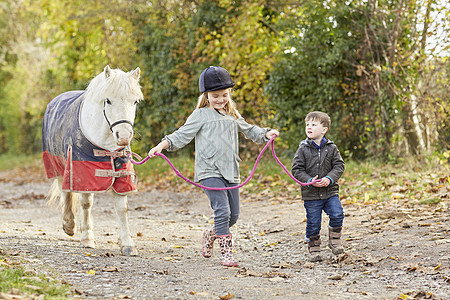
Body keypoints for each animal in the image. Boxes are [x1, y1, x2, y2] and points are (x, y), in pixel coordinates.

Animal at [42, 66, 142, 255]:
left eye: (135, 102)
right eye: (108, 101)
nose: (124, 137)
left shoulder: (120, 173)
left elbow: (122, 208)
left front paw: (127, 244)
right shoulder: (82, 169)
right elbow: (86, 203)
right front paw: (87, 238)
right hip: (59, 165)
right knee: (66, 191)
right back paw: (69, 225)